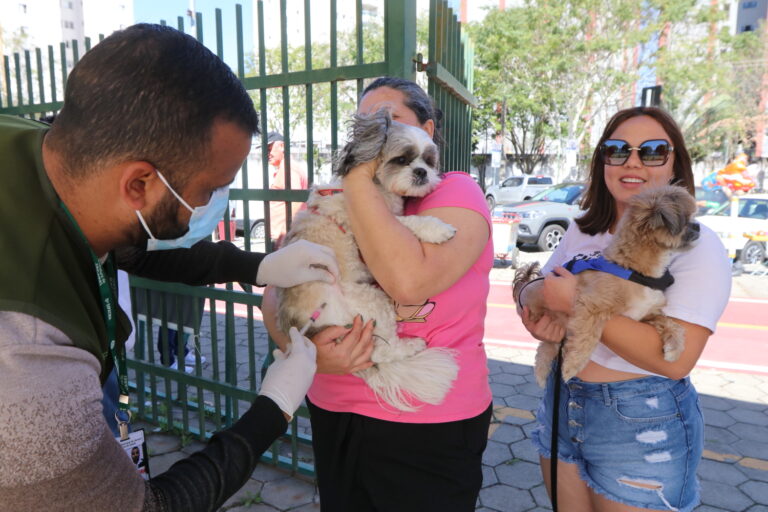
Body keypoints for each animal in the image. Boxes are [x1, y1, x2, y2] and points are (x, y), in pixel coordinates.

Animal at [516, 186, 704, 386]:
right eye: (686, 217)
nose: (698, 226)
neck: (633, 270)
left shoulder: (646, 314)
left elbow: (672, 324)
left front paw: (675, 348)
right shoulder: (590, 306)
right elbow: (587, 338)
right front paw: (572, 366)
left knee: (546, 347)